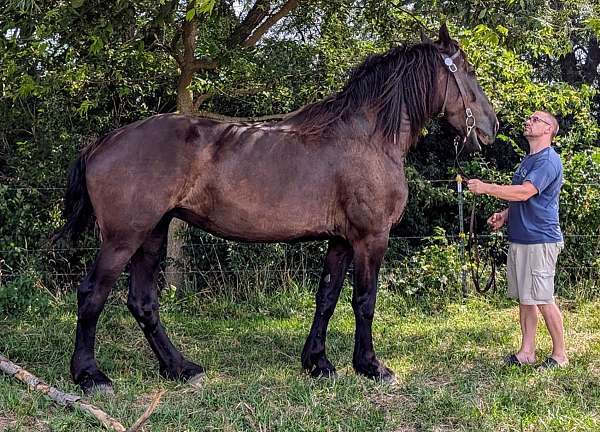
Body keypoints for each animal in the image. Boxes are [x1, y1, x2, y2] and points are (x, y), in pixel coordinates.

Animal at [56, 24, 496, 394]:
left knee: (142, 301)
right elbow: (365, 301)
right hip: (124, 238)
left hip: (153, 233)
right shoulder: (370, 238)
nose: (491, 127)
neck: (367, 136)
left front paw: (318, 363)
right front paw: (371, 366)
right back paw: (90, 376)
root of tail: (103, 142)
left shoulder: (340, 240)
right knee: (92, 294)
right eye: (470, 70)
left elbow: (327, 297)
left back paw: (180, 367)